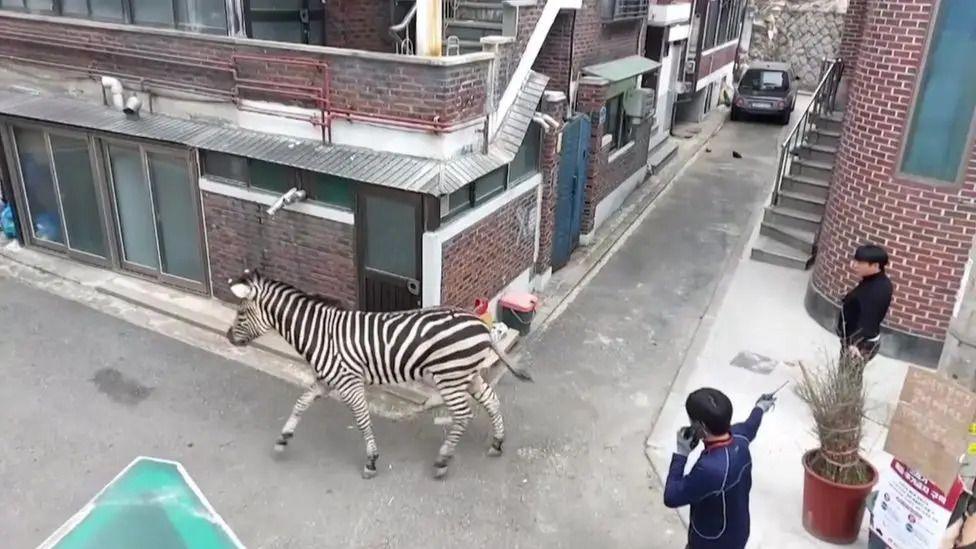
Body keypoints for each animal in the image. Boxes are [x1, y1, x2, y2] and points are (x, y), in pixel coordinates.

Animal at [224, 269, 533, 479]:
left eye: (240, 315)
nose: (228, 337)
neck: (319, 334)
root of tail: (481, 326)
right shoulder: (325, 381)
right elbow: (300, 403)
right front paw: (283, 438)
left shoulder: (349, 383)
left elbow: (362, 420)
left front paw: (371, 460)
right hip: (467, 375)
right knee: (491, 400)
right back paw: (497, 443)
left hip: (450, 376)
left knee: (464, 414)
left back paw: (443, 459)